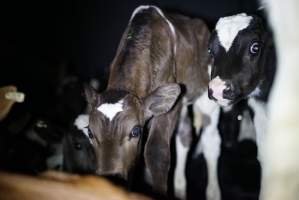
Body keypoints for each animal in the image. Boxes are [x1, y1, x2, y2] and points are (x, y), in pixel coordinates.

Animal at [84, 5, 213, 198]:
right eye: (90, 133)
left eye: (135, 131)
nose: (110, 178)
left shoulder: (170, 106)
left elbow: (156, 151)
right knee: (185, 135)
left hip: (208, 93)